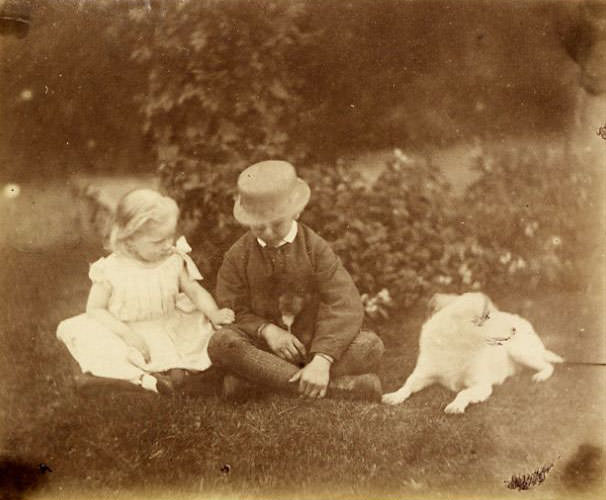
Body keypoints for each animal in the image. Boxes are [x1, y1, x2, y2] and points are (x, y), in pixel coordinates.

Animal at [384, 292, 564, 412]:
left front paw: (455, 405)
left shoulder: (482, 385)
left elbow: (463, 393)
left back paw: (540, 376)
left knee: (547, 365)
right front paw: (395, 396)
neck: (457, 347)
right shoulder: (423, 374)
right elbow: (407, 385)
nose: (514, 329)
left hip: (520, 352)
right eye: (487, 316)